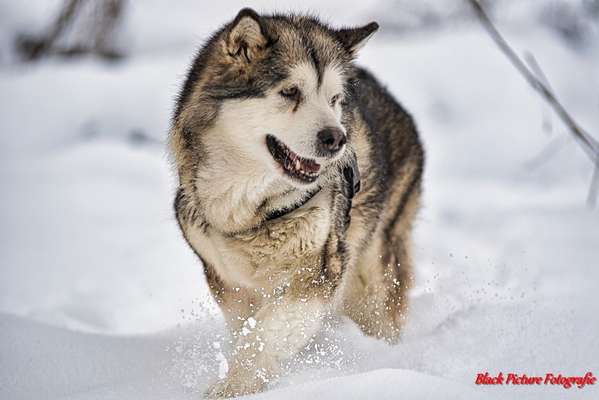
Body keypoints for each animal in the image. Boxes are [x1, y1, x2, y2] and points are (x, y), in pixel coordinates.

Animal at [168, 8, 422, 396]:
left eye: (334, 99)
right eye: (290, 92)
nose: (337, 138)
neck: (250, 210)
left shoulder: (320, 272)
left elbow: (264, 331)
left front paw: (234, 386)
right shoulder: (228, 281)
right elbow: (247, 326)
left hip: (371, 275)